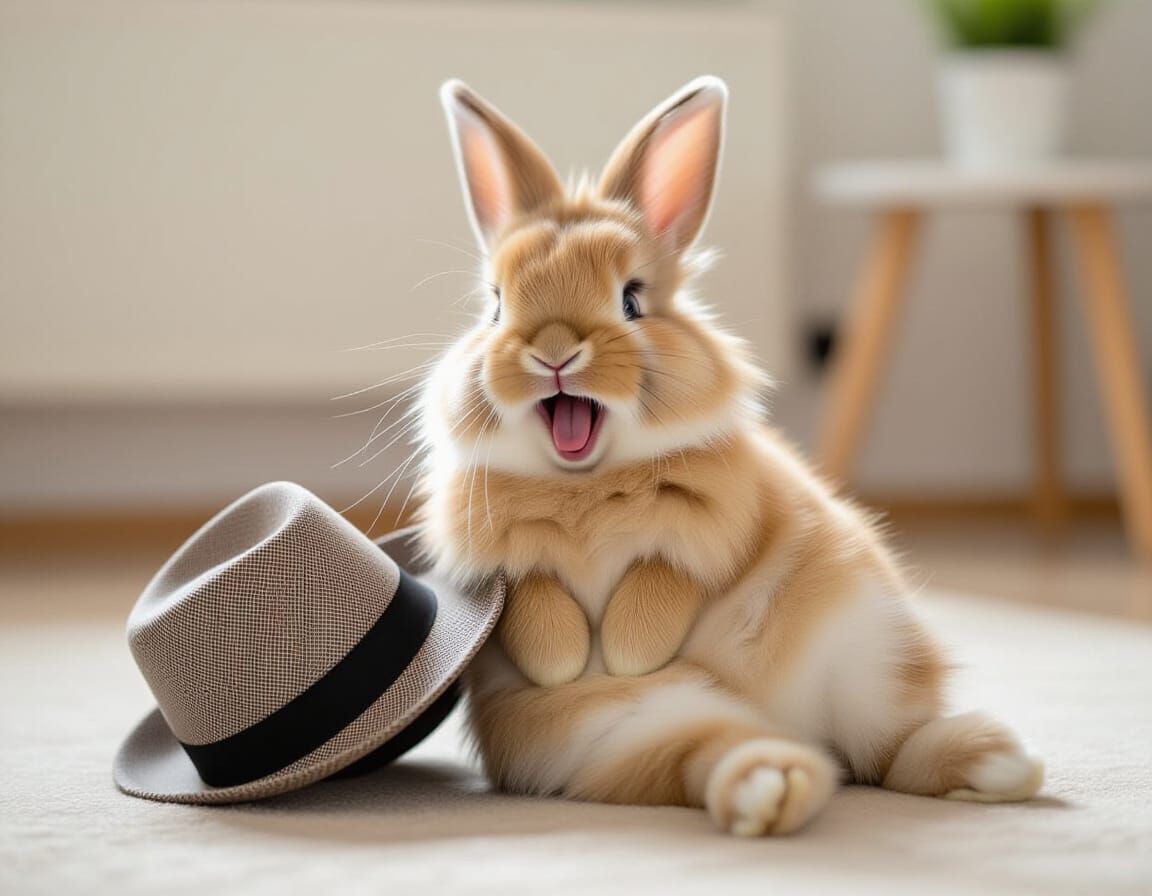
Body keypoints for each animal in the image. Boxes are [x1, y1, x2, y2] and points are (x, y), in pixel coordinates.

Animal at [414, 76, 1044, 836]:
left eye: (631, 299)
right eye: (496, 307)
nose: (555, 351)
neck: (585, 481)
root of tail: (798, 721)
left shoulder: (714, 528)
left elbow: (665, 582)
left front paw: (628, 648)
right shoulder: (506, 569)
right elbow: (538, 603)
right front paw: (566, 661)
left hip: (871, 648)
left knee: (891, 750)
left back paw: (999, 762)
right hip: (623, 727)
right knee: (724, 751)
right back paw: (775, 786)